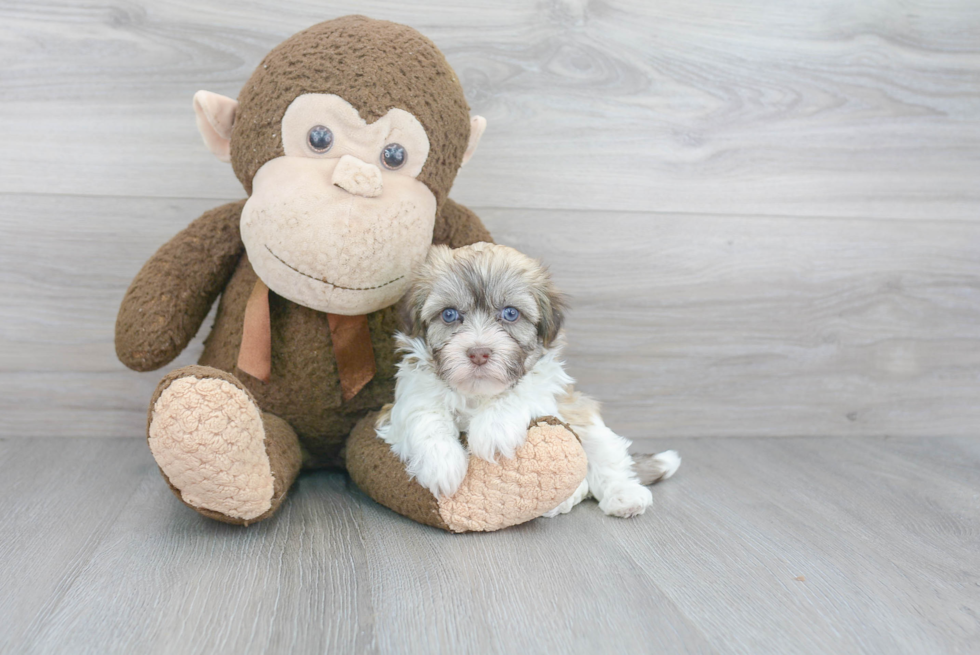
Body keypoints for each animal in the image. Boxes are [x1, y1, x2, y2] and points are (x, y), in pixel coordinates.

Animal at [376, 243, 680, 520]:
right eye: (449, 314)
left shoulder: (549, 384)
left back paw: (623, 496)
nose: (478, 353)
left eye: (511, 313)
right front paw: (441, 462)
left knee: (606, 456)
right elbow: (423, 413)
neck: (477, 393)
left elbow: (522, 390)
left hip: (584, 417)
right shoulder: (403, 400)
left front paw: (493, 430)